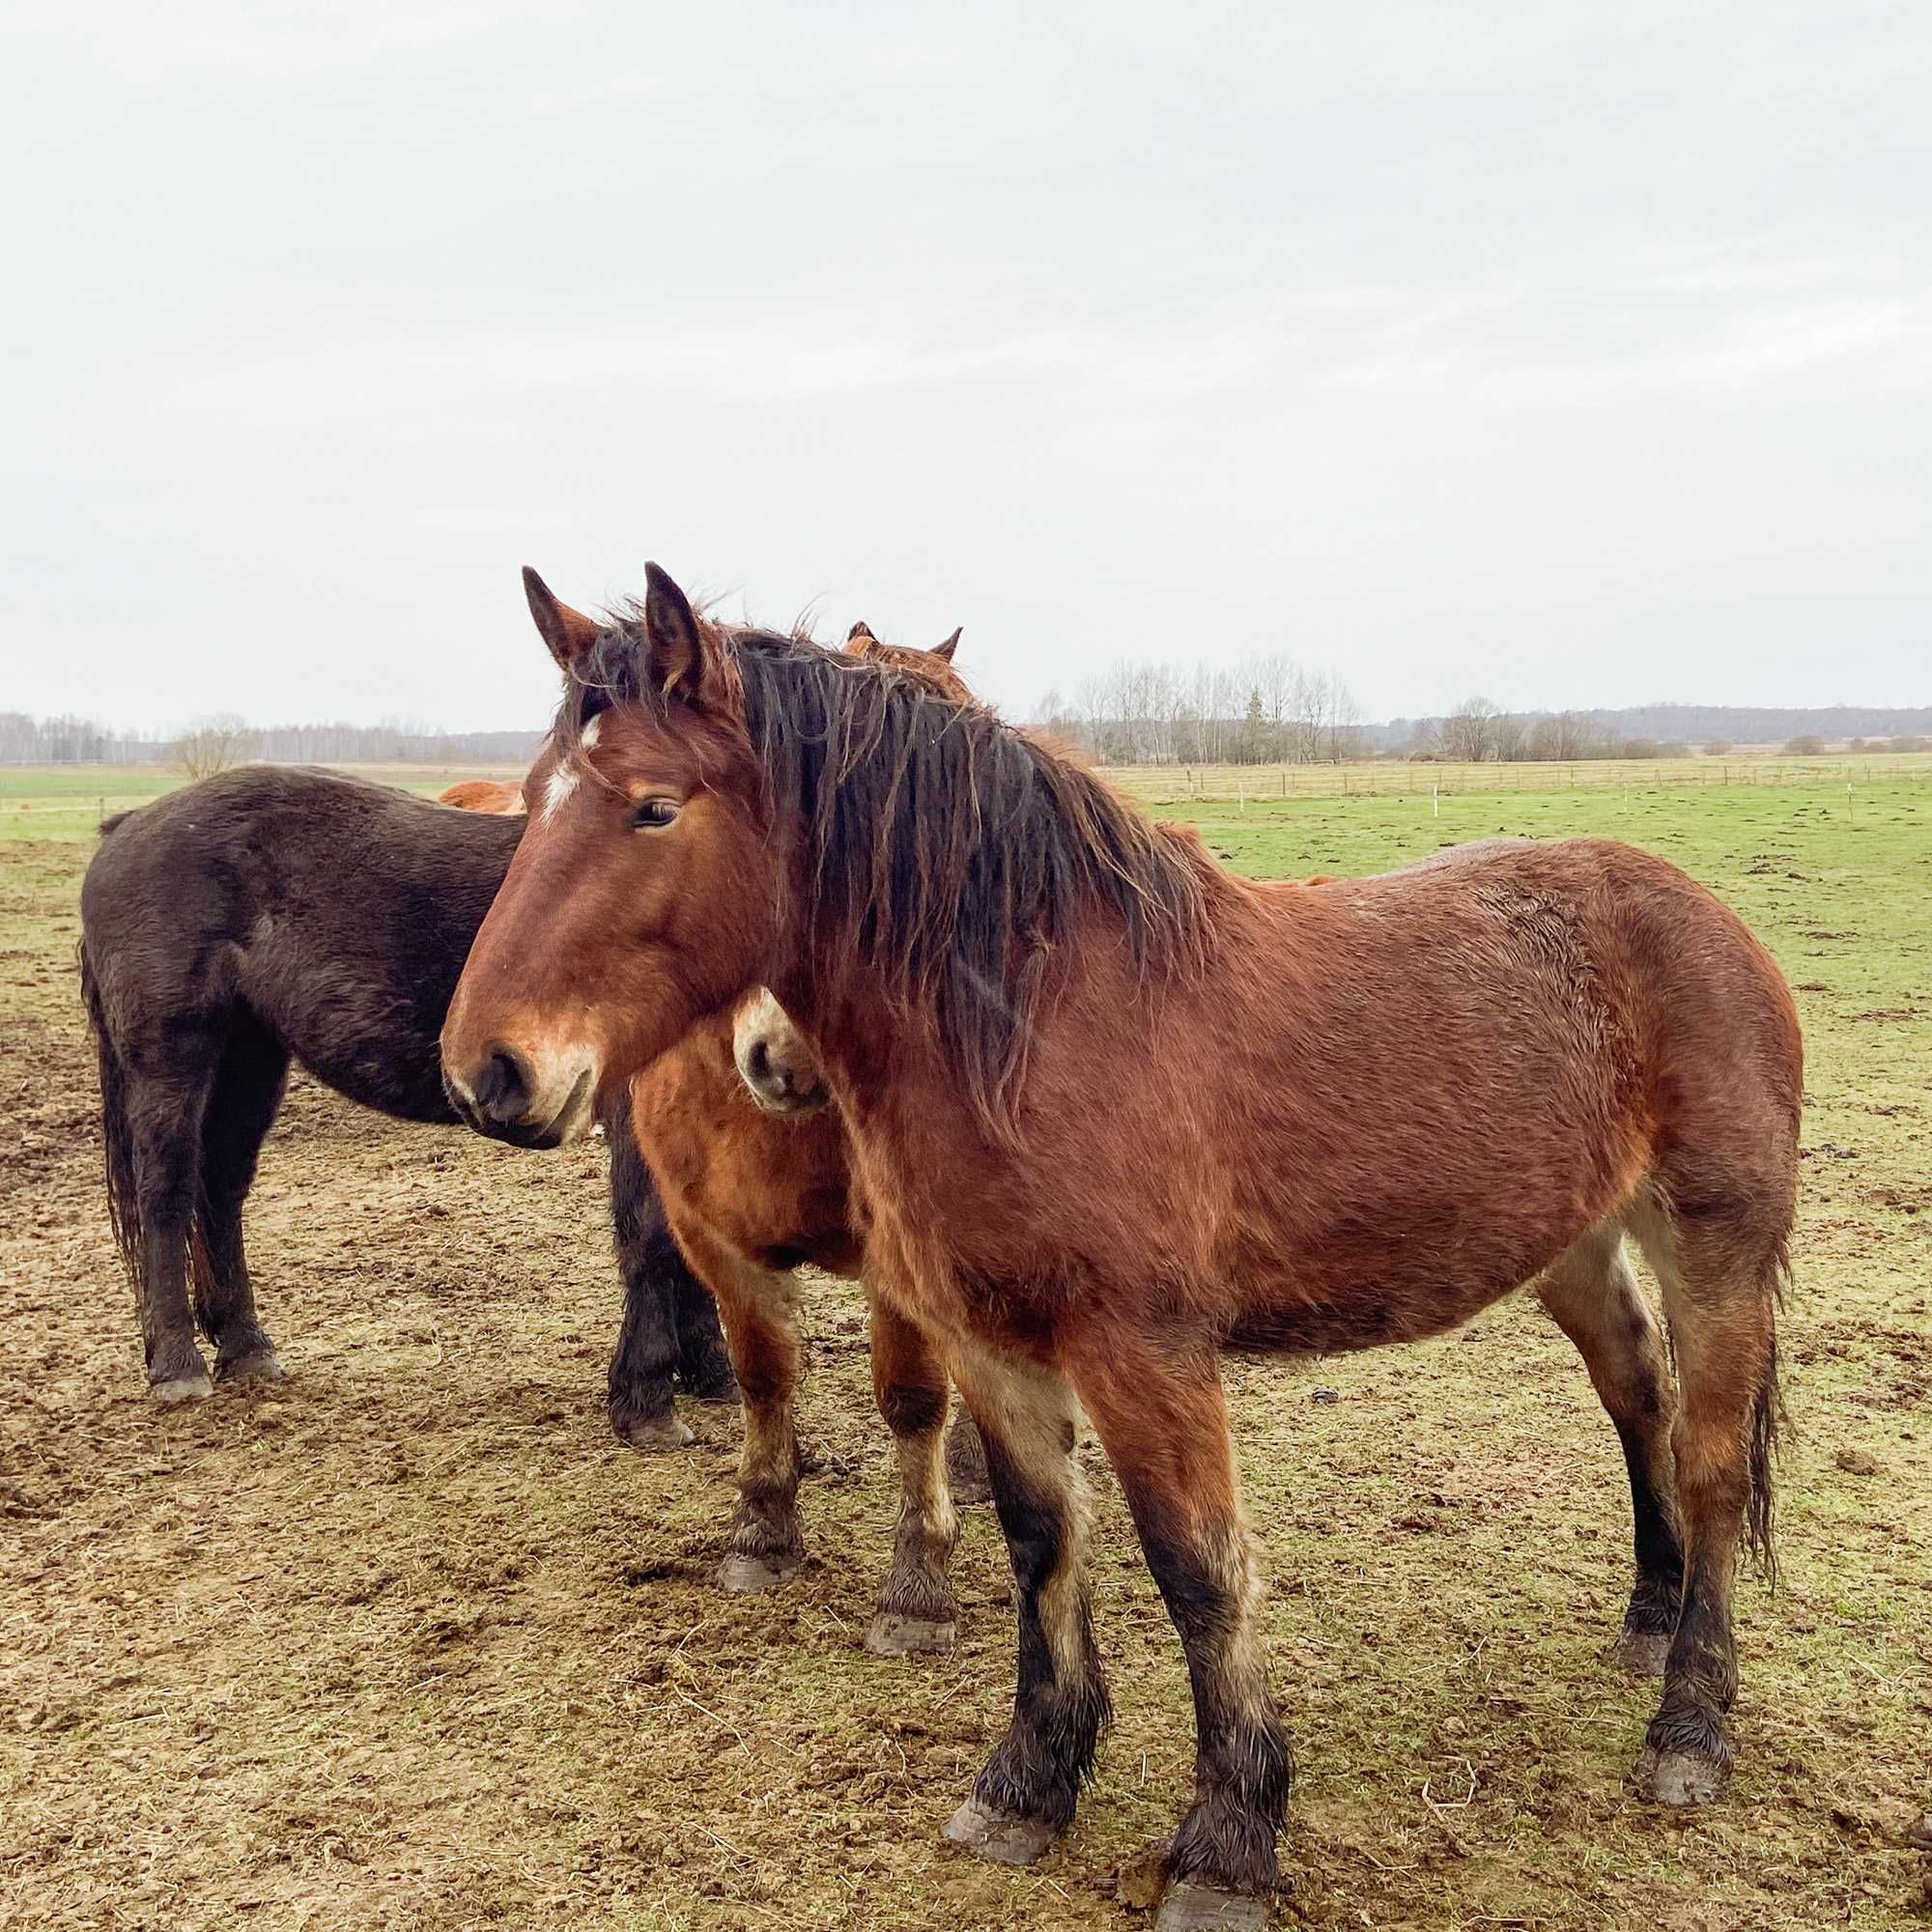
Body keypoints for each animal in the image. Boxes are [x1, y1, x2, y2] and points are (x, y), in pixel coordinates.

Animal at [439, 564, 1793, 1924]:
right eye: (533, 794)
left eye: (653, 807)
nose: (488, 1071)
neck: (1034, 1023)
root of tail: (1704, 913)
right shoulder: (991, 1339)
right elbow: (1042, 1541)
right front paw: (1027, 1783)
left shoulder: (1143, 1350)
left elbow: (1197, 1571)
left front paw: (1227, 1840)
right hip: (1574, 1244)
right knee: (1636, 1396)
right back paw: (1648, 1614)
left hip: (1714, 1249)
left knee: (1712, 1462)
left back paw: (1689, 1724)